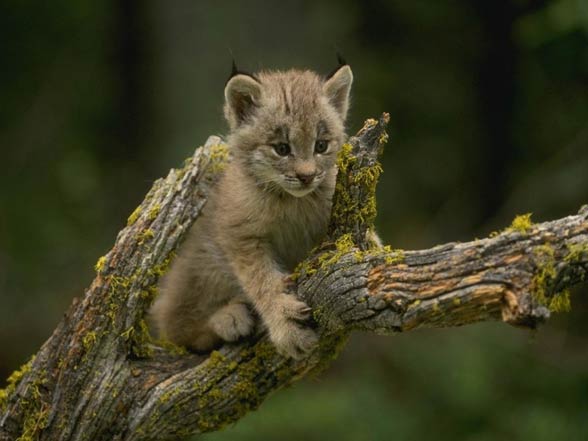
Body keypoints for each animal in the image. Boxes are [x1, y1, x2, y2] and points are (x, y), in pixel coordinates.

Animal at [152, 62, 354, 358]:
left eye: (321, 145)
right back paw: (228, 318)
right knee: (172, 325)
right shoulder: (239, 235)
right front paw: (285, 323)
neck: (291, 200)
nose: (306, 176)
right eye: (281, 148)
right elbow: (261, 280)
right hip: (204, 259)